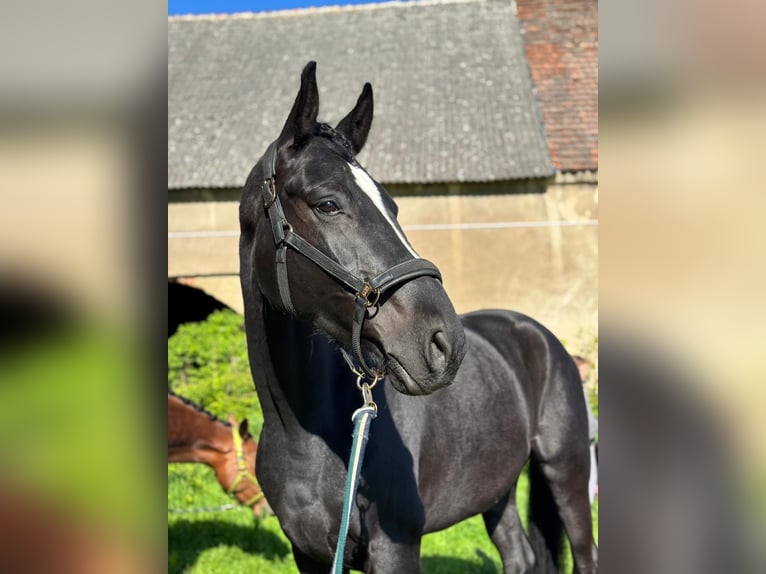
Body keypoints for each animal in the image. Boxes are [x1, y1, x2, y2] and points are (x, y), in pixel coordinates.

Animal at [239, 61, 597, 573]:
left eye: (393, 205)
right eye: (327, 203)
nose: (444, 342)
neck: (304, 432)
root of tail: (539, 337)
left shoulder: (396, 547)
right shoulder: (307, 552)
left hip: (567, 474)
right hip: (498, 490)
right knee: (520, 554)